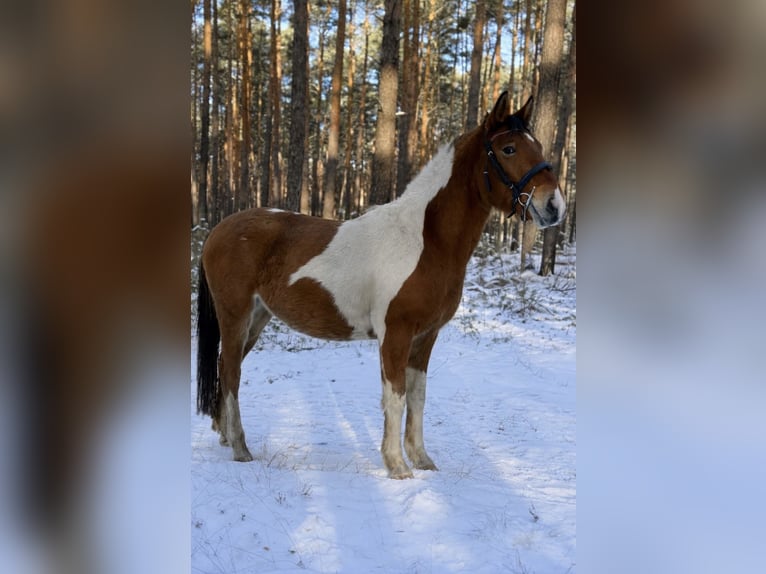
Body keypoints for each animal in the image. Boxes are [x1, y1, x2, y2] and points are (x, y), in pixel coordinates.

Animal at [196, 91, 566, 479]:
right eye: (508, 149)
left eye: (538, 145)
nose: (554, 206)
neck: (425, 241)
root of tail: (218, 230)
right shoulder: (396, 333)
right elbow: (396, 396)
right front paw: (398, 466)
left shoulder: (425, 336)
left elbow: (417, 396)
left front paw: (422, 459)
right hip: (235, 316)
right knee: (231, 372)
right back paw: (240, 447)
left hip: (257, 318)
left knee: (224, 367)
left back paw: (225, 435)